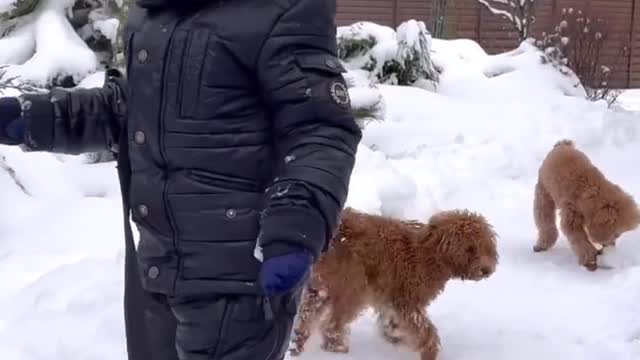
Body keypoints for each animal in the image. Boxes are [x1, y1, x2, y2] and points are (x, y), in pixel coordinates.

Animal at [288, 207, 498, 358]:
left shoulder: (391, 299)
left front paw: (394, 336)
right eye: (470, 248)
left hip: (321, 287)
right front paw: (429, 350)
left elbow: (392, 322)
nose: (486, 270)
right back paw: (337, 348)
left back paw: (298, 345)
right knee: (330, 326)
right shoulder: (407, 301)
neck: (429, 253)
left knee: (306, 318)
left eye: (486, 246)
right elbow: (424, 329)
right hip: (352, 285)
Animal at [532, 139, 640, 272]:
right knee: (545, 221)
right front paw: (590, 258)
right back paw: (542, 244)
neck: (591, 190)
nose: (609, 245)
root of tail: (562, 145)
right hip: (543, 193)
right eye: (616, 234)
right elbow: (579, 240)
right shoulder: (571, 215)